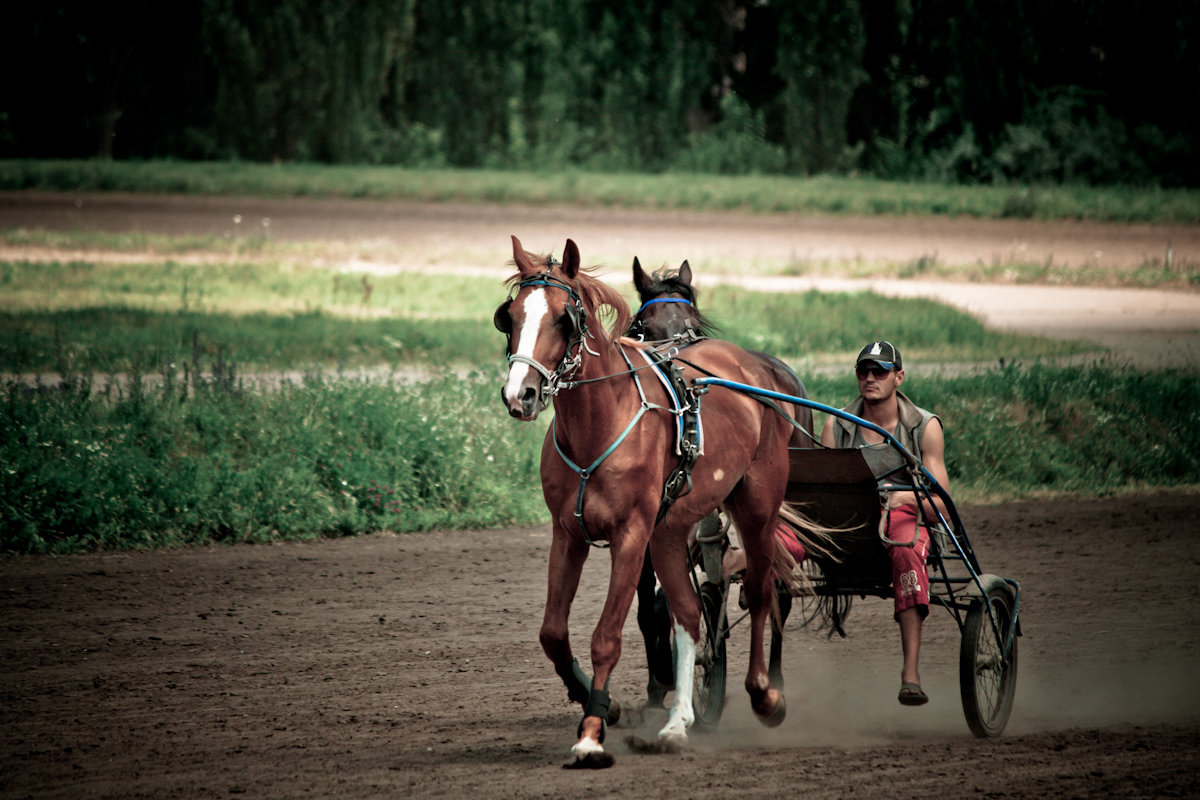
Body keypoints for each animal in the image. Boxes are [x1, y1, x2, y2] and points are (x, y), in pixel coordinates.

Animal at [494, 237, 825, 767]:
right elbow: (554, 634)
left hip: (758, 506)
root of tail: (753, 370)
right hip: (670, 531)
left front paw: (591, 734)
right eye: (510, 316)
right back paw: (676, 723)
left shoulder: (632, 535)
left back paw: (766, 692)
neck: (599, 423)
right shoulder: (569, 533)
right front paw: (604, 704)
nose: (519, 394)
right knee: (689, 613)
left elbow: (607, 636)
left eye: (565, 319)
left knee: (764, 590)